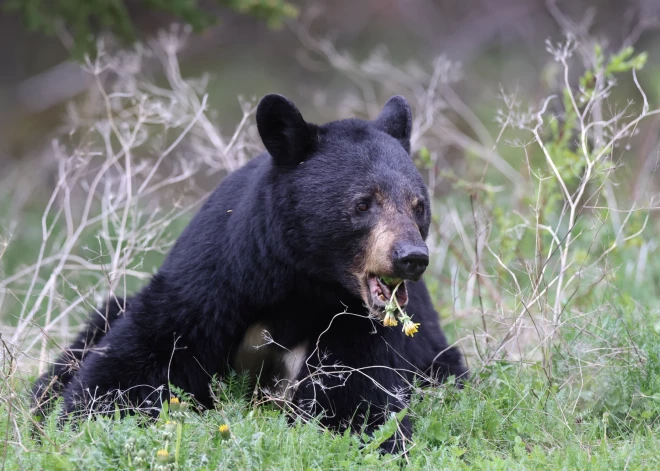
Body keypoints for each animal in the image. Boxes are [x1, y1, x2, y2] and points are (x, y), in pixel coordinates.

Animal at [33, 93, 466, 454]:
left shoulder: (356, 322)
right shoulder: (216, 278)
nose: (412, 257)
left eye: (418, 206)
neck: (304, 282)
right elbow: (139, 356)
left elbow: (358, 395)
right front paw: (79, 419)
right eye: (363, 204)